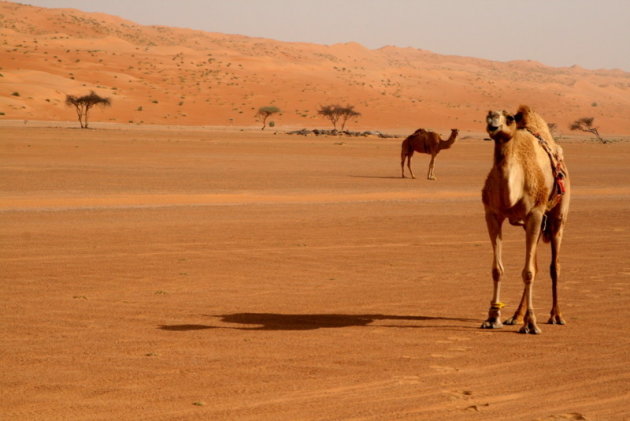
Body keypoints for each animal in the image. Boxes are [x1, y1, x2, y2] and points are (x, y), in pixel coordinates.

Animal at [484, 106, 572, 334]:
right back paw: (515, 316)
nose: (493, 123)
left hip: (557, 217)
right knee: (536, 265)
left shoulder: (535, 213)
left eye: (509, 118)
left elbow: (529, 272)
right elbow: (497, 269)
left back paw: (556, 316)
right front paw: (492, 317)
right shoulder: (492, 214)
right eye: (488, 115)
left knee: (554, 267)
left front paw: (531, 323)